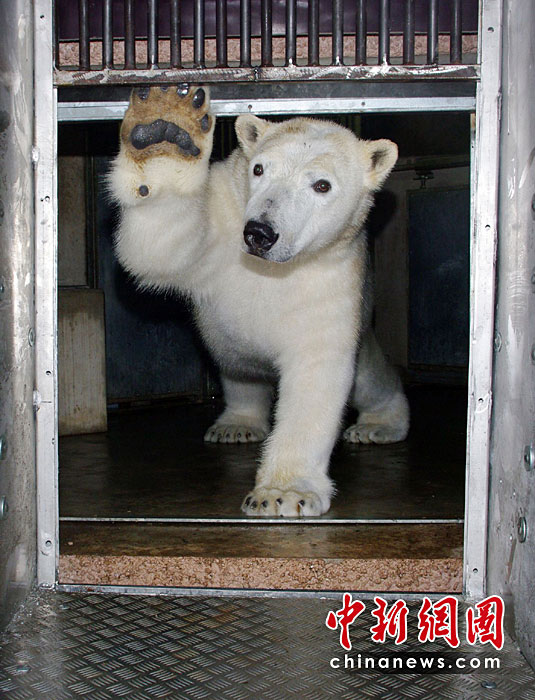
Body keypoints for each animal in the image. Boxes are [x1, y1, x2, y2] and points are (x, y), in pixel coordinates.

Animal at [109, 85, 409, 517]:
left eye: (322, 185)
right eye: (260, 170)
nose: (260, 234)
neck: (271, 268)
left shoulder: (332, 272)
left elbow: (316, 369)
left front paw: (283, 494)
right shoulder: (223, 221)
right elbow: (160, 246)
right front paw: (165, 129)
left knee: (368, 378)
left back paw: (379, 425)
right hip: (232, 351)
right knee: (238, 371)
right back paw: (237, 424)